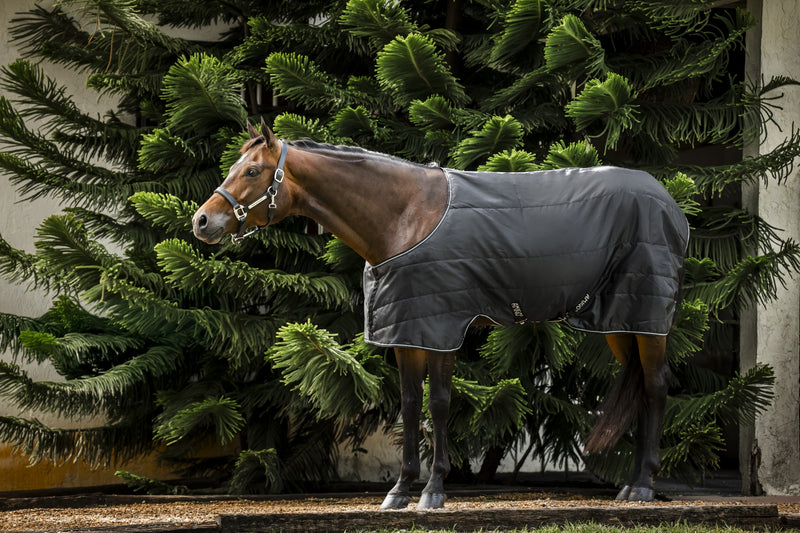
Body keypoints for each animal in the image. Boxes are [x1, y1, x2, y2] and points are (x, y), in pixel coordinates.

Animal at [192, 118, 689, 509]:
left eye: (252, 170)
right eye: (233, 168)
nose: (201, 221)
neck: (404, 216)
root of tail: (671, 205)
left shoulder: (443, 327)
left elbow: (440, 403)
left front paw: (433, 491)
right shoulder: (407, 331)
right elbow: (411, 406)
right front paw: (400, 490)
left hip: (648, 319)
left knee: (657, 386)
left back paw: (642, 486)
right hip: (622, 323)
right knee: (640, 385)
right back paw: (632, 484)